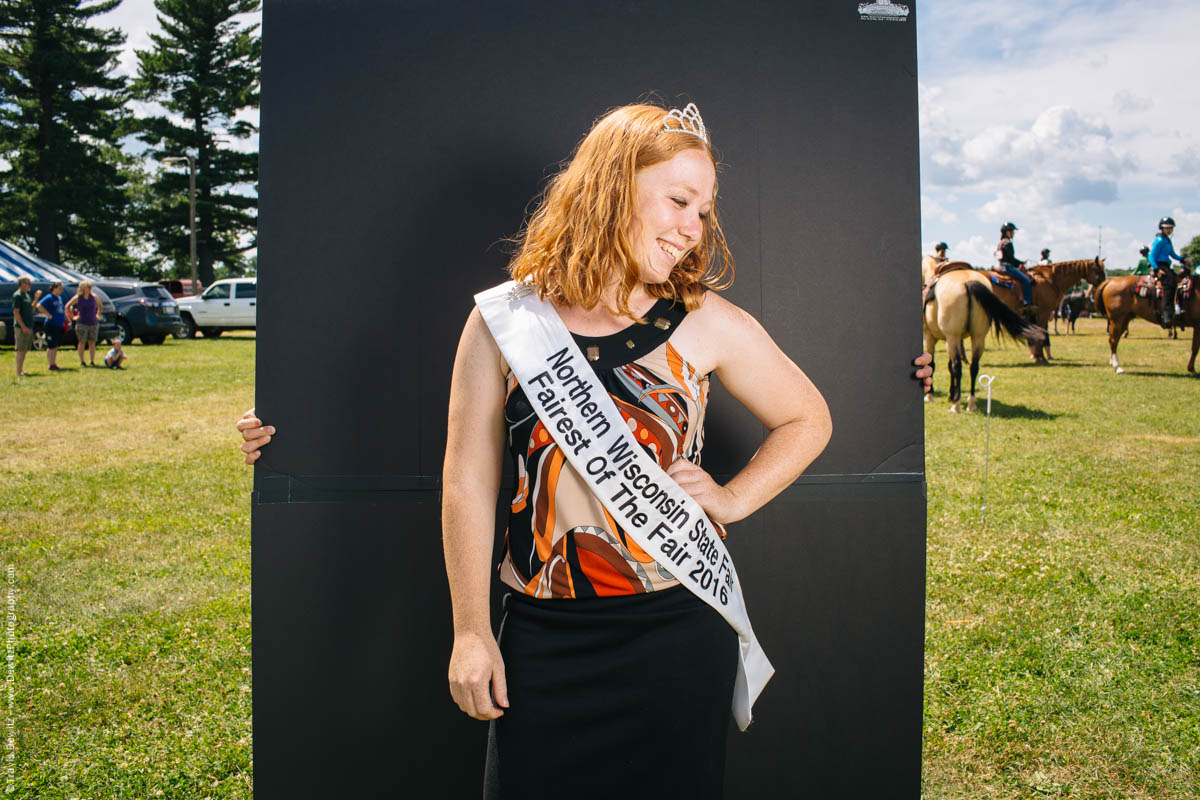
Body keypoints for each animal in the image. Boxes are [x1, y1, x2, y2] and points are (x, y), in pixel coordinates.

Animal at [921, 271, 1046, 412]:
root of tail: (968, 281)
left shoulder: (931, 337)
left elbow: (932, 365)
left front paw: (930, 395)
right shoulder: (953, 341)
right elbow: (949, 366)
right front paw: (951, 394)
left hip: (954, 337)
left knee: (958, 366)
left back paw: (956, 405)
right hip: (978, 338)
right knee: (974, 367)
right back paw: (971, 403)